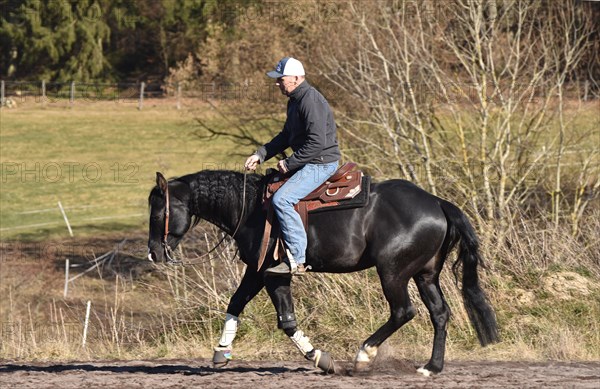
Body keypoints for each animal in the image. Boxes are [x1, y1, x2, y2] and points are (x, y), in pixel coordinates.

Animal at [148, 169, 500, 372]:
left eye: (159, 210)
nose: (153, 252)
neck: (251, 207)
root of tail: (437, 202)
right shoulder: (259, 272)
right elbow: (237, 304)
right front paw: (222, 351)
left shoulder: (270, 272)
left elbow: (286, 321)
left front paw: (320, 358)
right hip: (425, 275)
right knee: (439, 313)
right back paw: (432, 367)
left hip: (393, 273)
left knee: (403, 311)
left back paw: (364, 355)